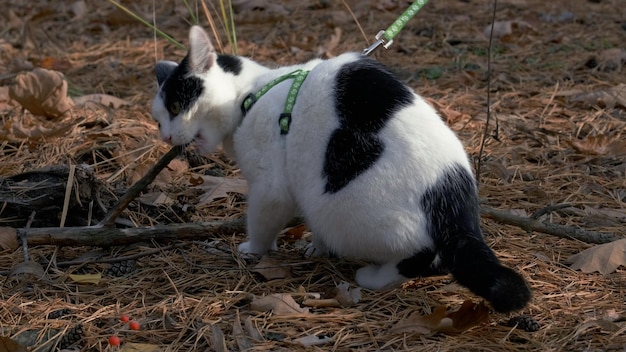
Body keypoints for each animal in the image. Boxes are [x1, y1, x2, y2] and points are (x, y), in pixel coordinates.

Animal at [151, 26, 528, 312]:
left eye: (176, 106)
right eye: (158, 119)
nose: (166, 135)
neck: (251, 93)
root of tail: (454, 200)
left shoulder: (271, 186)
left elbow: (263, 218)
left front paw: (253, 249)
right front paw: (316, 248)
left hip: (342, 209)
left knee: (425, 256)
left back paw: (373, 277)